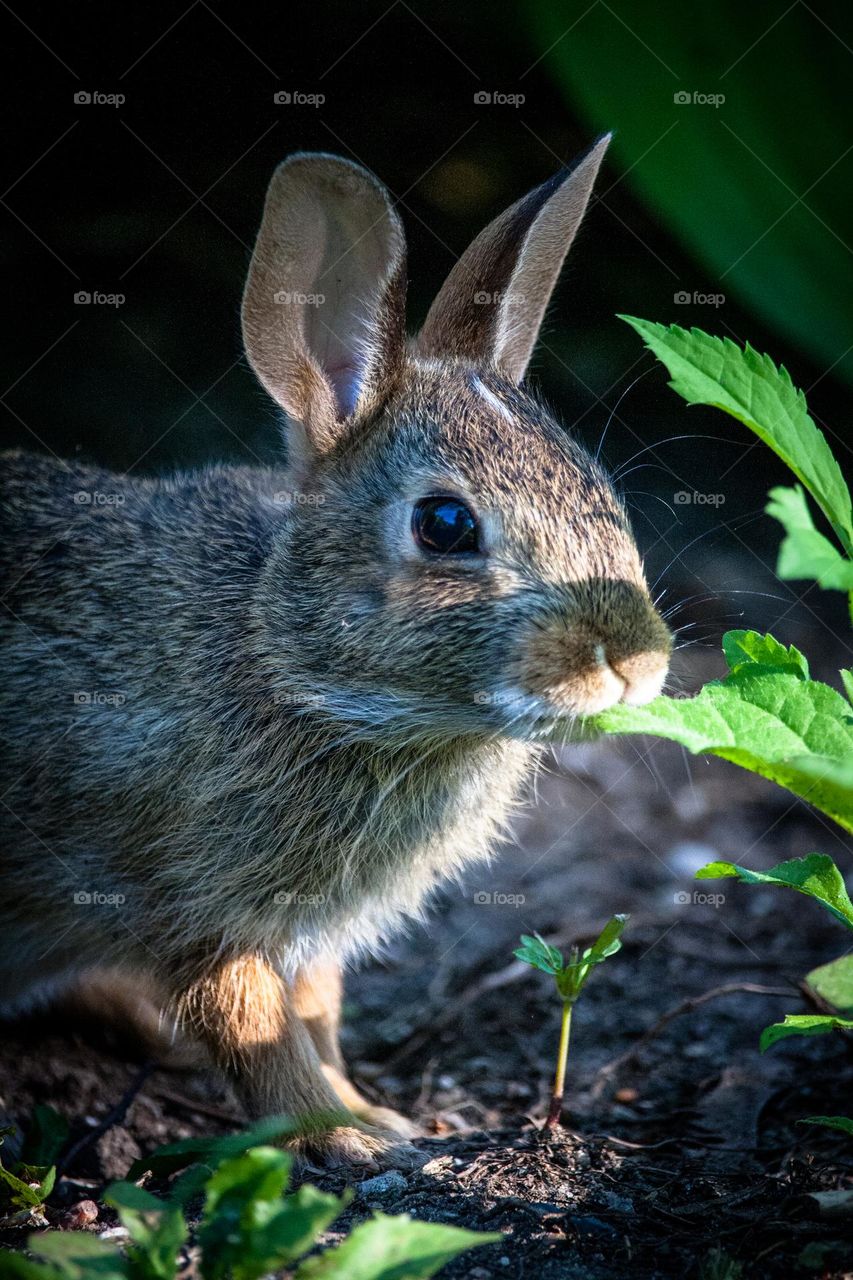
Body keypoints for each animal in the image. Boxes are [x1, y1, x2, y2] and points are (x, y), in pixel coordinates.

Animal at [0, 132, 671, 1172]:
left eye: (598, 489)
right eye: (444, 526)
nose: (636, 661)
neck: (295, 667)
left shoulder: (308, 934)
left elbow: (312, 1014)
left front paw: (372, 1111)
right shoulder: (198, 904)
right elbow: (252, 1025)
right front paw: (348, 1138)